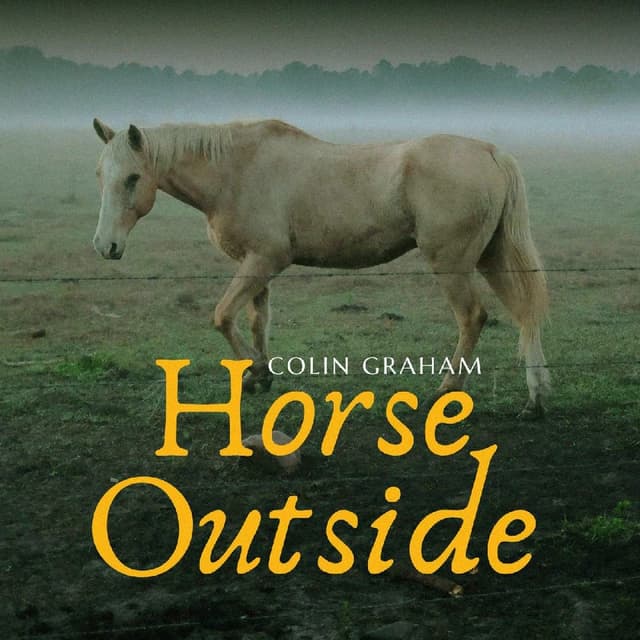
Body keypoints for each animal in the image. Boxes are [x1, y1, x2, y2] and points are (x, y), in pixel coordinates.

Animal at [92, 117, 550, 417]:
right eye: (100, 175)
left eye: (133, 178)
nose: (105, 246)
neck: (236, 171)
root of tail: (490, 152)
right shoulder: (256, 265)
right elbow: (257, 322)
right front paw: (260, 376)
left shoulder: (265, 260)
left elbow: (222, 317)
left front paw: (255, 371)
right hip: (492, 258)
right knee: (525, 314)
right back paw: (535, 397)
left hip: (453, 265)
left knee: (473, 317)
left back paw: (449, 389)